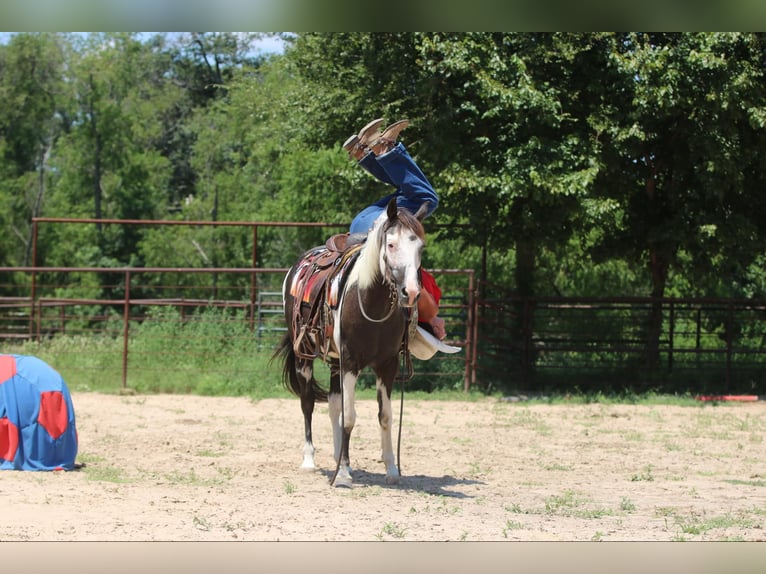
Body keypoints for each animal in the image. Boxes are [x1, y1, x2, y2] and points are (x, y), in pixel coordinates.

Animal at [273, 198, 427, 487]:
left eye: (420, 247)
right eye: (391, 244)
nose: (411, 292)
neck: (369, 300)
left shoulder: (387, 365)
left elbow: (384, 416)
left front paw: (391, 469)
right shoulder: (351, 362)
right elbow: (350, 417)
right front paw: (343, 473)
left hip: (335, 362)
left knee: (334, 405)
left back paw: (337, 456)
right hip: (305, 357)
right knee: (308, 403)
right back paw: (310, 461)